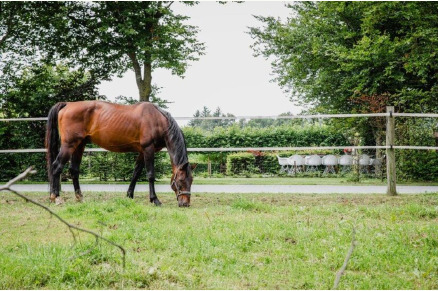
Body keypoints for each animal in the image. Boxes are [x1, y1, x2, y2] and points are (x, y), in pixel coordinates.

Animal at [45, 100, 194, 208]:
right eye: (180, 181)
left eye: (191, 180)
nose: (185, 204)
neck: (156, 119)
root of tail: (68, 104)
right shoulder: (148, 149)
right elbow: (150, 175)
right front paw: (155, 200)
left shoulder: (142, 151)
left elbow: (136, 173)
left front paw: (129, 195)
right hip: (69, 145)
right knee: (56, 167)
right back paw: (56, 197)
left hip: (79, 145)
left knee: (74, 170)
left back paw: (79, 197)